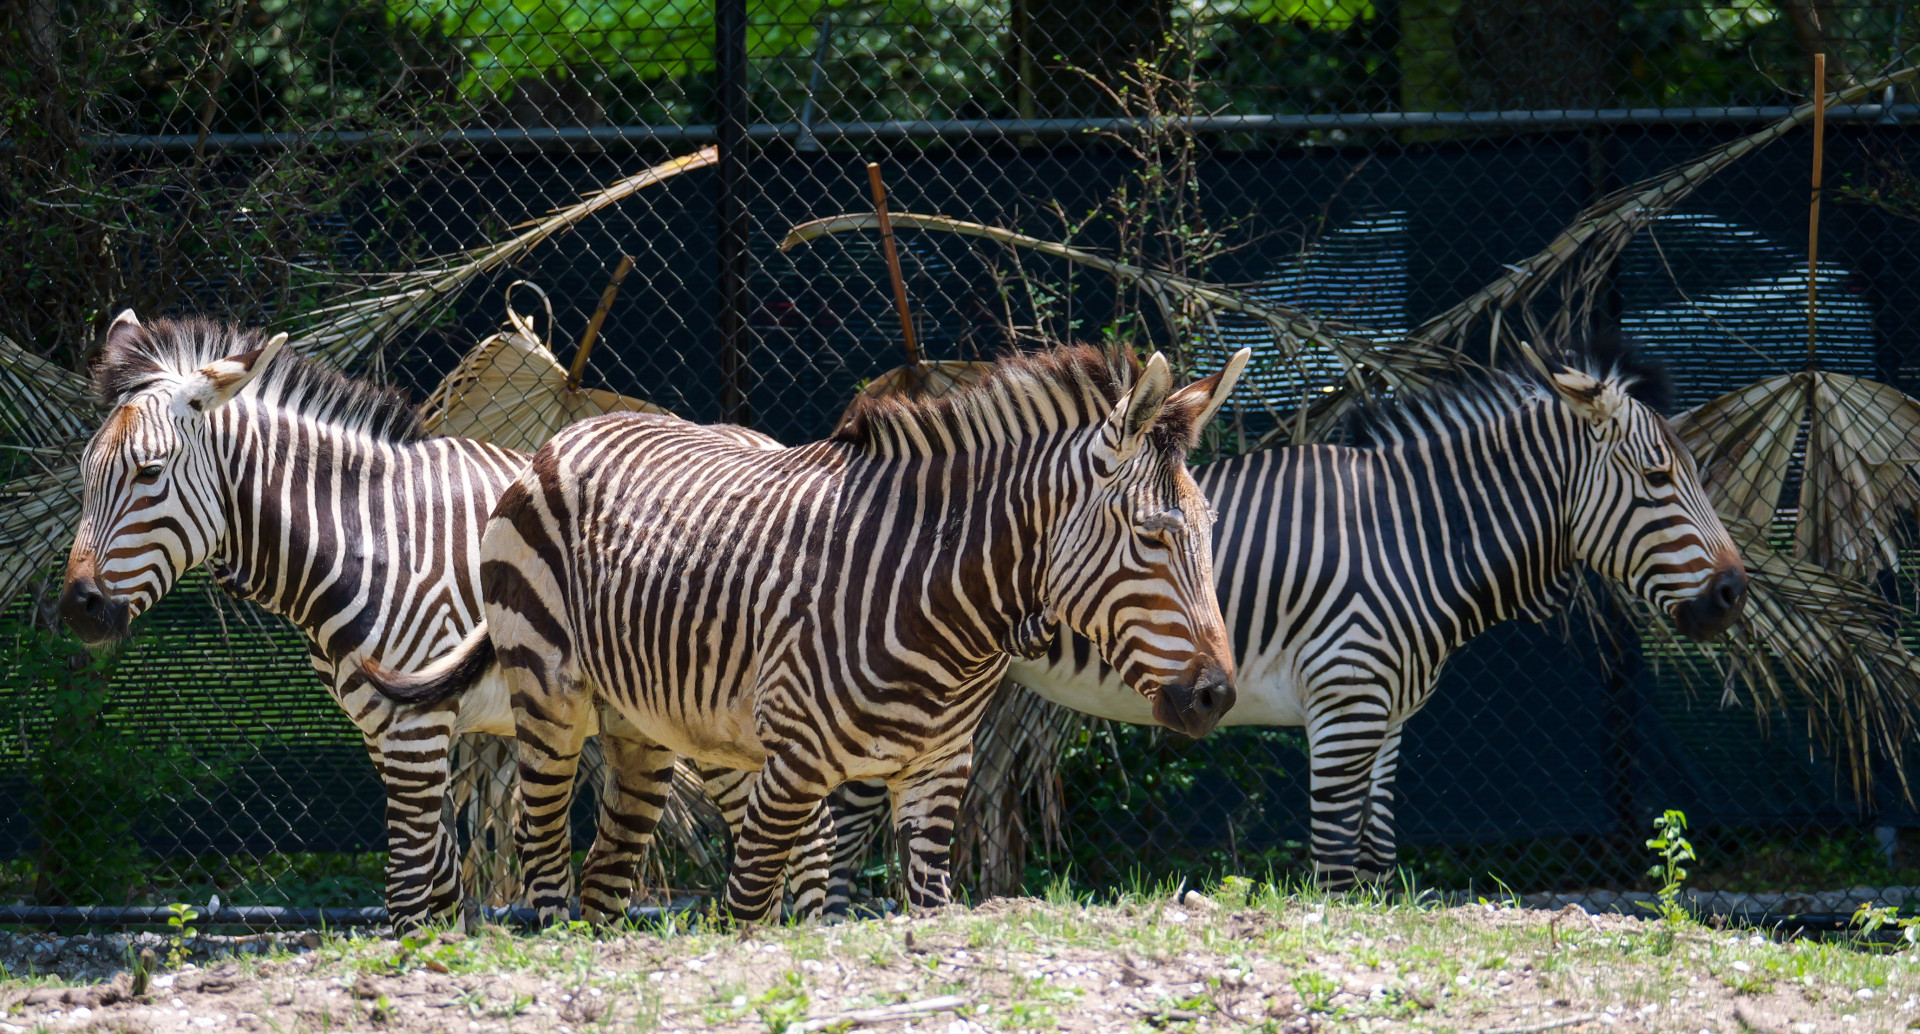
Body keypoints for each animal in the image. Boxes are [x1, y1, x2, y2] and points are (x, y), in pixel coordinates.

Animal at [362, 344, 1251, 922]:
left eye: (1210, 527)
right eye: (1152, 536)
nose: (1215, 697)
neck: (941, 605)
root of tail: (568, 433)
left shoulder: (939, 771)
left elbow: (924, 914)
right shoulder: (793, 766)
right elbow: (749, 911)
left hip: (644, 729)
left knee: (605, 878)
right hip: (548, 701)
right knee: (542, 853)